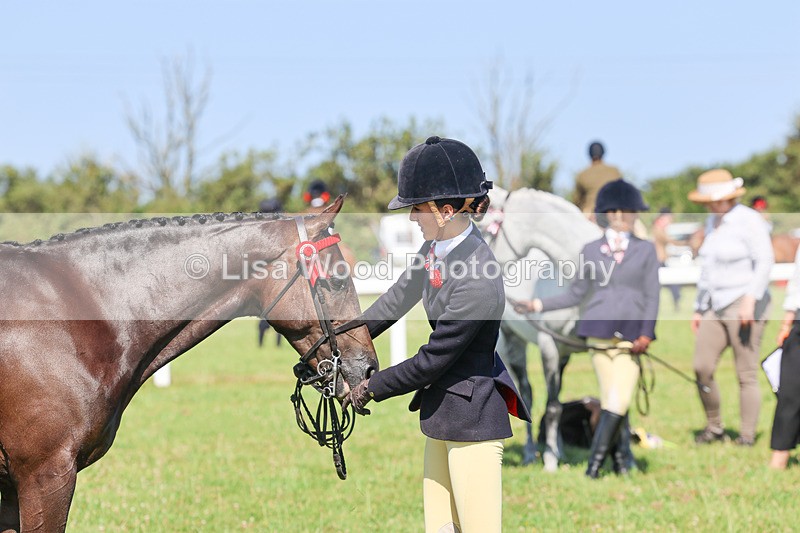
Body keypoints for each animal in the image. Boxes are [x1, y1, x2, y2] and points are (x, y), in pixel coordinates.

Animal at [481, 186, 602, 471]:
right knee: (526, 394)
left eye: (490, 231)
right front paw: (549, 460)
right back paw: (529, 453)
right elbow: (552, 405)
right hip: (512, 346)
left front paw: (555, 453)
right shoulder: (549, 345)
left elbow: (557, 403)